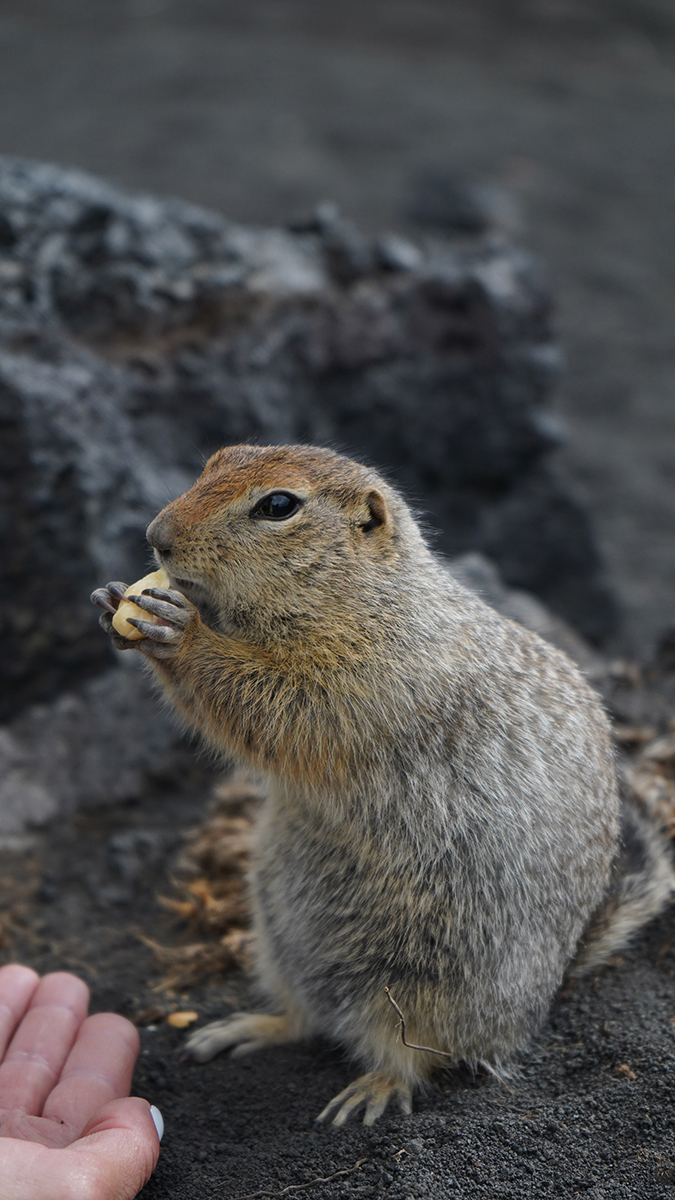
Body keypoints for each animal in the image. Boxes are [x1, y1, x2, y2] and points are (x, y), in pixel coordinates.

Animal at [92, 443, 674, 1125]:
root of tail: (538, 1001)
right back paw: (244, 1029)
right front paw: (112, 598)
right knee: (309, 1017)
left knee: (415, 1052)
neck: (371, 594)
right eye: (217, 459)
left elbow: (279, 704)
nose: (156, 537)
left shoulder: (371, 675)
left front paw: (177, 631)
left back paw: (373, 1087)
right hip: (278, 936)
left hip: (426, 985)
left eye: (278, 505)